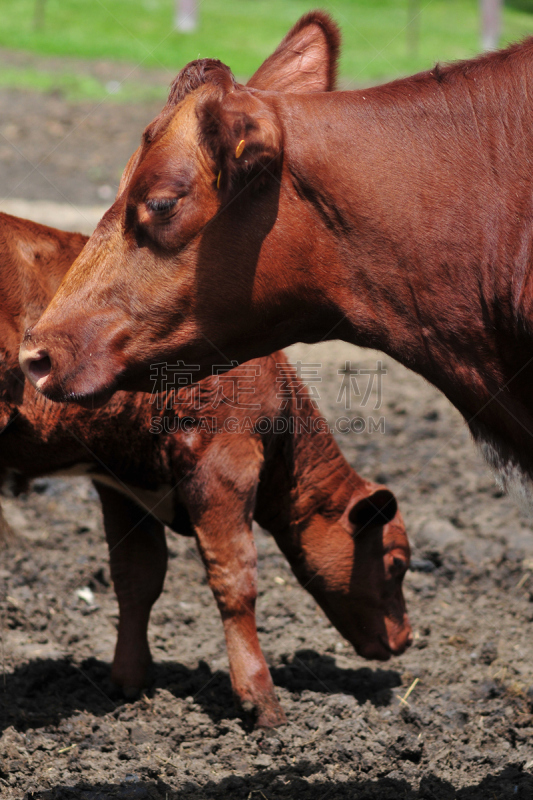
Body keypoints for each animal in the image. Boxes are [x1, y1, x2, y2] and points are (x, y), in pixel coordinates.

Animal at [0, 209, 412, 728]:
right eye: (397, 562)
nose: (407, 638)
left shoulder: (121, 483)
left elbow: (137, 579)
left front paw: (130, 682)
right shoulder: (222, 464)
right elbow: (236, 579)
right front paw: (261, 700)